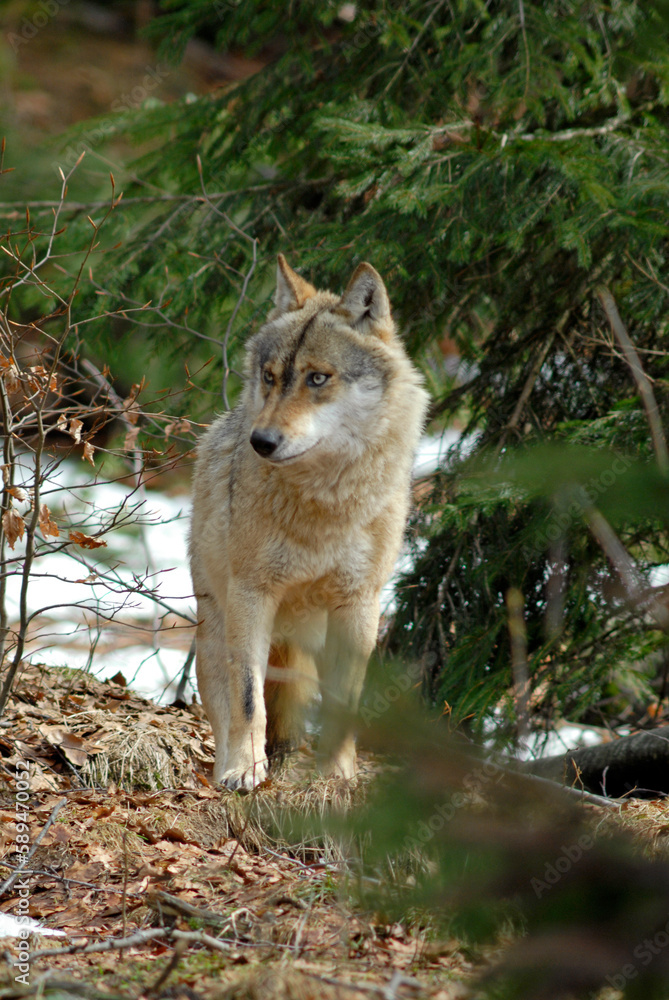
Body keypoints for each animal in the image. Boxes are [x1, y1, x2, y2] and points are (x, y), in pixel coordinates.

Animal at [189, 255, 429, 790]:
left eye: (318, 379)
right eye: (271, 376)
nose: (261, 442)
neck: (324, 504)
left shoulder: (358, 606)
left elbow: (344, 706)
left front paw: (336, 778)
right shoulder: (252, 594)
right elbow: (248, 699)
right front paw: (245, 769)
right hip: (215, 630)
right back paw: (229, 765)